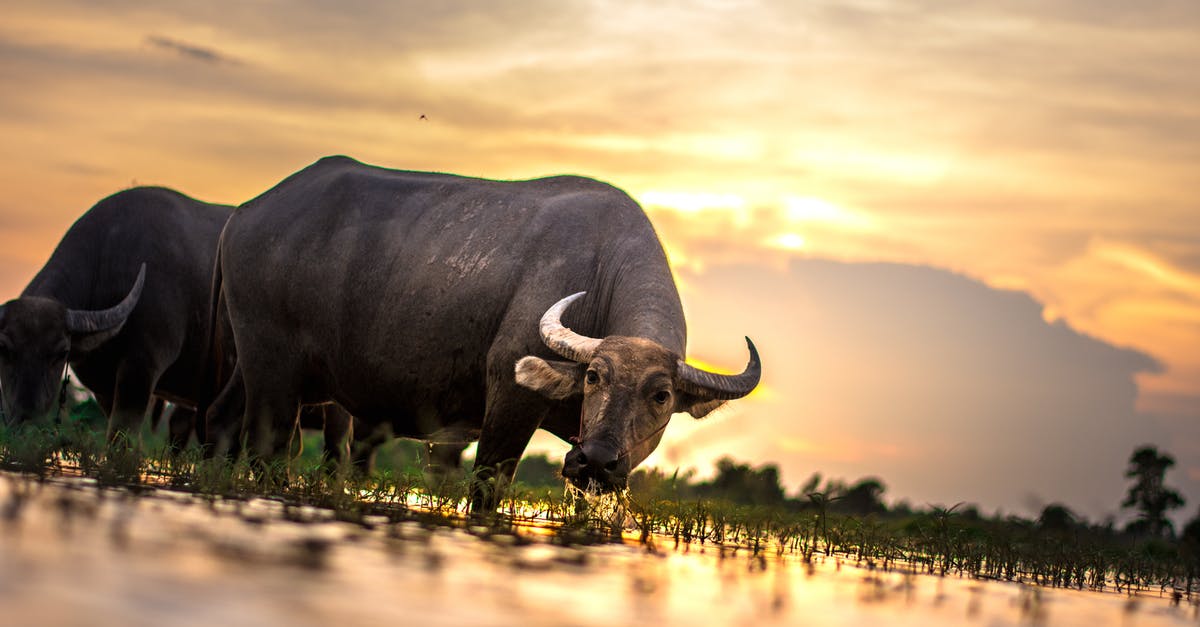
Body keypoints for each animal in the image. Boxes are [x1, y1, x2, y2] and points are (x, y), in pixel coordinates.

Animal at [210, 153, 758, 504]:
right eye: (594, 377)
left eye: (661, 396)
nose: (596, 460)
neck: (601, 270)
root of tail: (245, 213)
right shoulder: (509, 399)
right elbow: (486, 490)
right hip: (273, 376)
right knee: (269, 447)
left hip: (251, 366)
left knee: (221, 422)